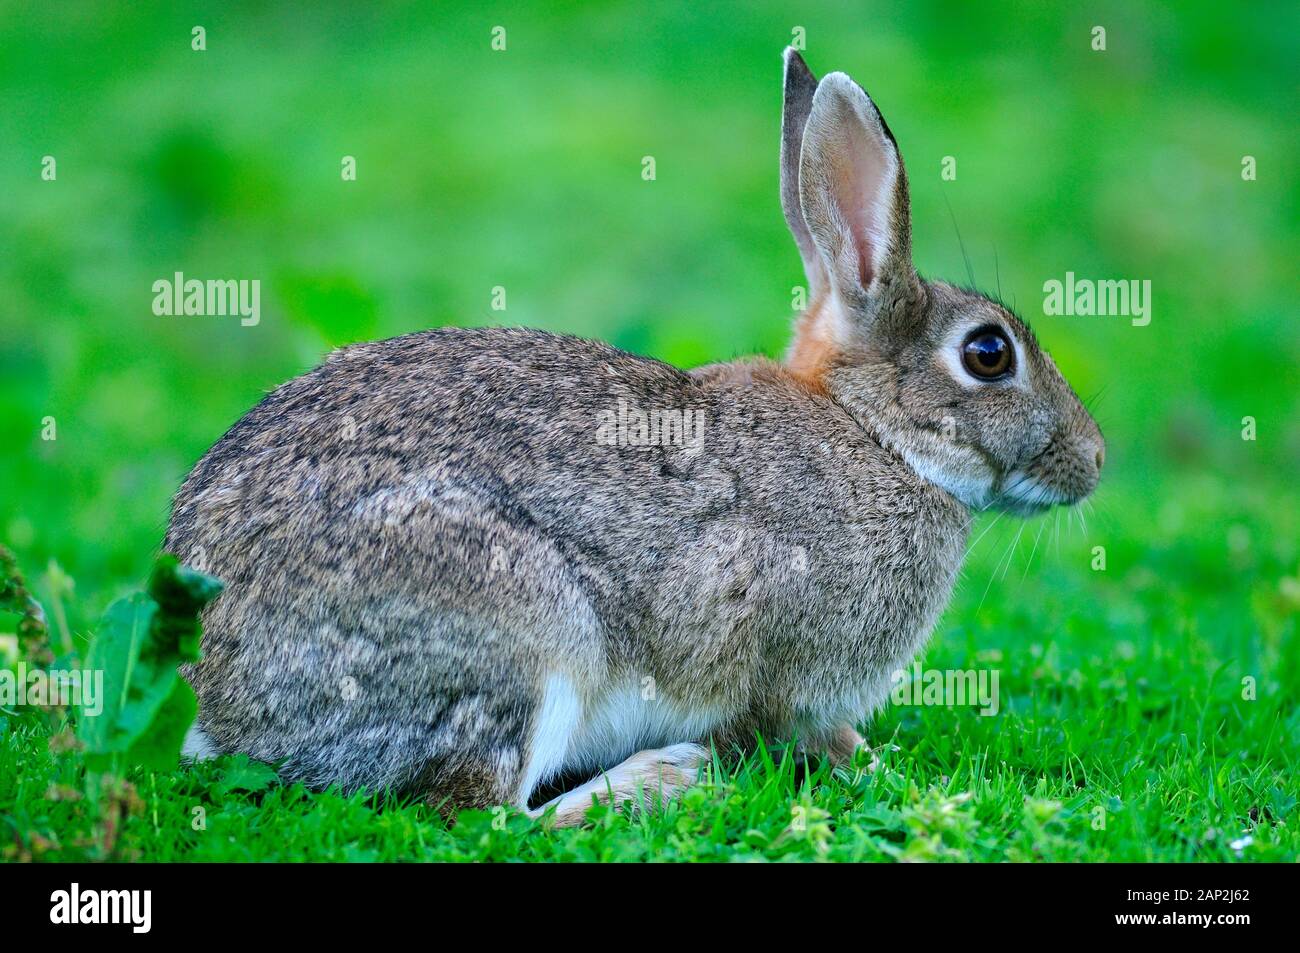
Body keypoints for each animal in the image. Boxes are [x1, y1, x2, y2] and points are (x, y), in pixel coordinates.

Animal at [167, 48, 1104, 826]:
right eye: (989, 354)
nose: (1094, 460)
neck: (870, 432)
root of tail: (218, 690)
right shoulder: (786, 673)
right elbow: (816, 733)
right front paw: (881, 770)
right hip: (527, 633)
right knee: (490, 812)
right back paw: (670, 776)